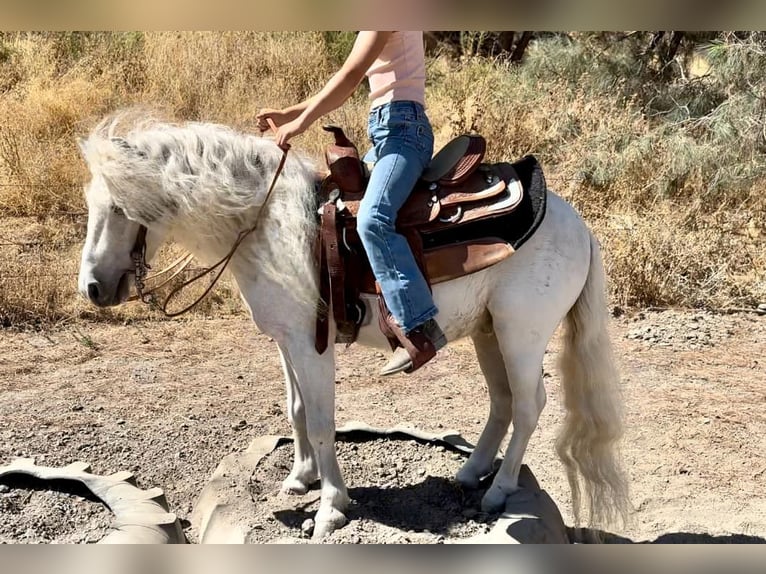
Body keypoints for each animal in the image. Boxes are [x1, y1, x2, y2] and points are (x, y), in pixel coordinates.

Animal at [76, 111, 632, 540]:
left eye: (120, 208)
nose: (93, 289)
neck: (267, 225)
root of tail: (577, 224)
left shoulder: (312, 346)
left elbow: (323, 423)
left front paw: (330, 506)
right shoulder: (286, 342)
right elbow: (297, 410)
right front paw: (300, 479)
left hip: (522, 336)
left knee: (530, 405)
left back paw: (497, 491)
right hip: (488, 331)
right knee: (503, 402)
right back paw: (471, 472)